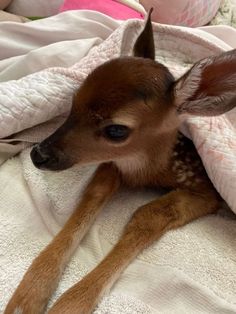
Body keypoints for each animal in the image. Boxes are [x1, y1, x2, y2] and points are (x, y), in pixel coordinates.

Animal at [5, 9, 236, 314]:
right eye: (73, 102)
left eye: (116, 130)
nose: (38, 154)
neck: (150, 169)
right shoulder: (114, 165)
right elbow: (96, 191)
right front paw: (28, 295)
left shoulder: (207, 190)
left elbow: (148, 215)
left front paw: (70, 304)